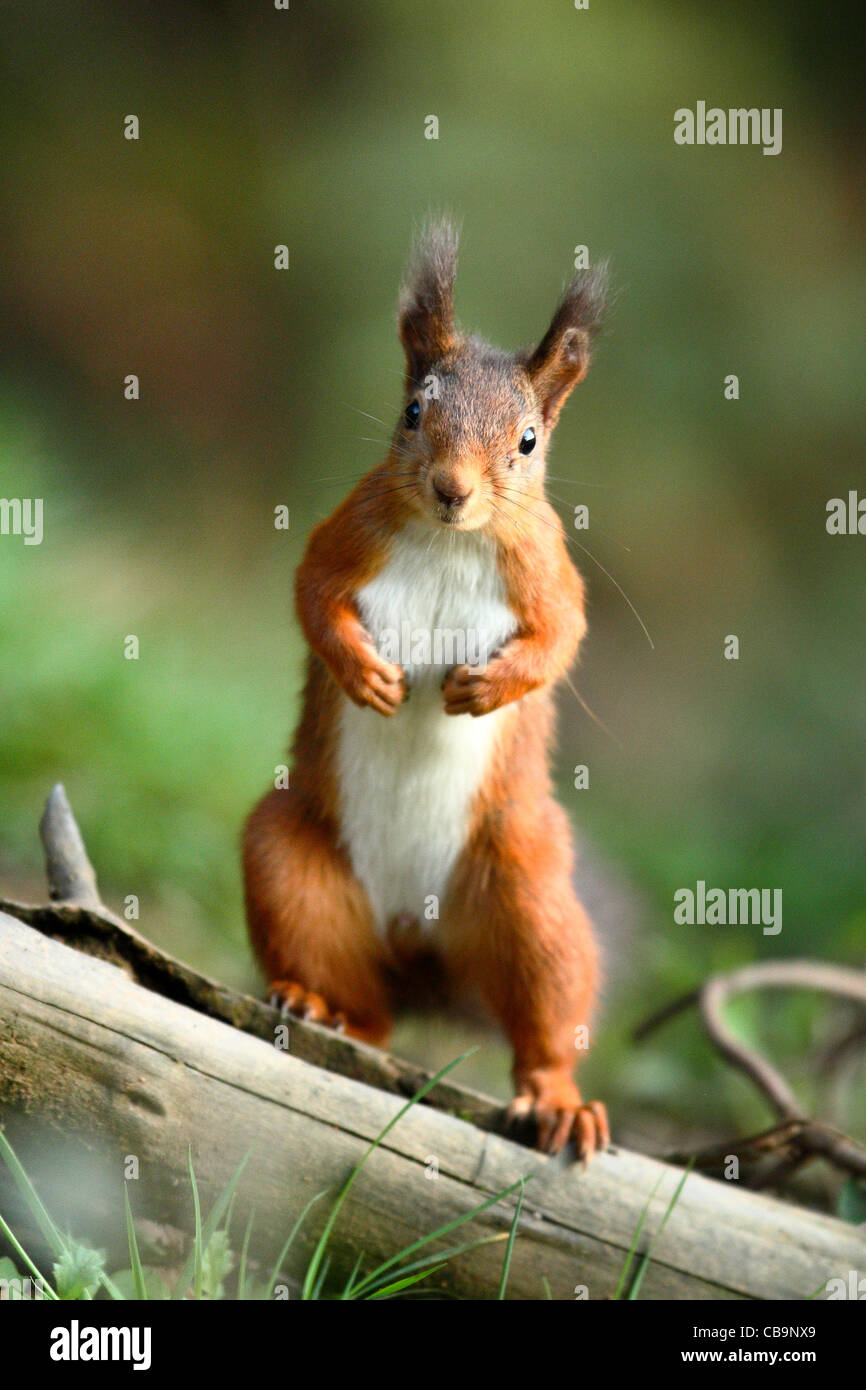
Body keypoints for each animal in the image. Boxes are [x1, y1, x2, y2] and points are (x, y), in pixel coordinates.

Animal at [244, 219, 608, 1162]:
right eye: (415, 411)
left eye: (528, 440)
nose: (452, 489)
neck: (453, 538)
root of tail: (417, 938)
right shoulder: (349, 531)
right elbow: (310, 595)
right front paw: (365, 675)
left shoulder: (548, 571)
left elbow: (561, 639)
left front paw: (487, 688)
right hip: (291, 865)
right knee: (360, 1005)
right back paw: (319, 1004)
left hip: (528, 892)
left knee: (546, 1014)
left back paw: (558, 1098)